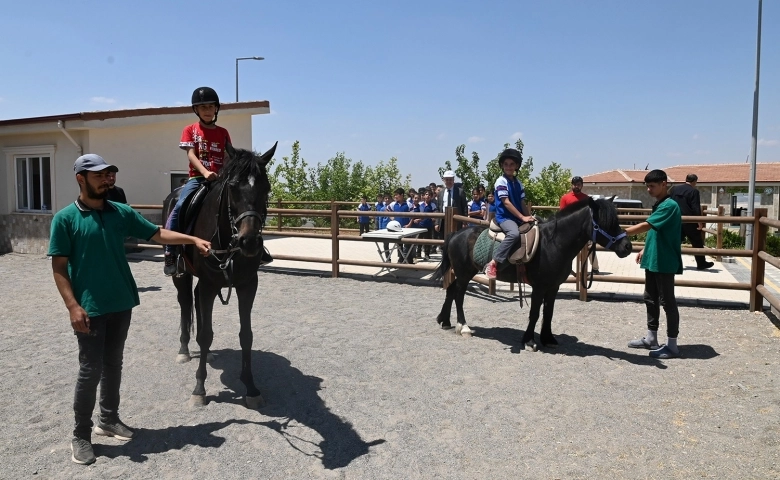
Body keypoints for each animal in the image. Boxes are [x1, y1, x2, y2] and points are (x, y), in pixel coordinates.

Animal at [161, 142, 278, 408]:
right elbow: (205, 335)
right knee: (185, 302)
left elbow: (246, 335)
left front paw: (251, 388)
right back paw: (184, 350)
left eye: (266, 187)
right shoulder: (208, 284)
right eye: (233, 186)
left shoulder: (247, 285)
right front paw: (199, 389)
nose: (249, 241)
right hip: (182, 276)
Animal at [432, 197, 632, 350]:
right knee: (458, 295)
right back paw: (463, 327)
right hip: (464, 273)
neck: (553, 242)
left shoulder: (553, 287)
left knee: (451, 290)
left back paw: (444, 320)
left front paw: (548, 339)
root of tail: (455, 234)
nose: (627, 246)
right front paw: (529, 341)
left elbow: (548, 312)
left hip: (464, 273)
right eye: (605, 223)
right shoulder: (539, 287)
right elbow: (535, 313)